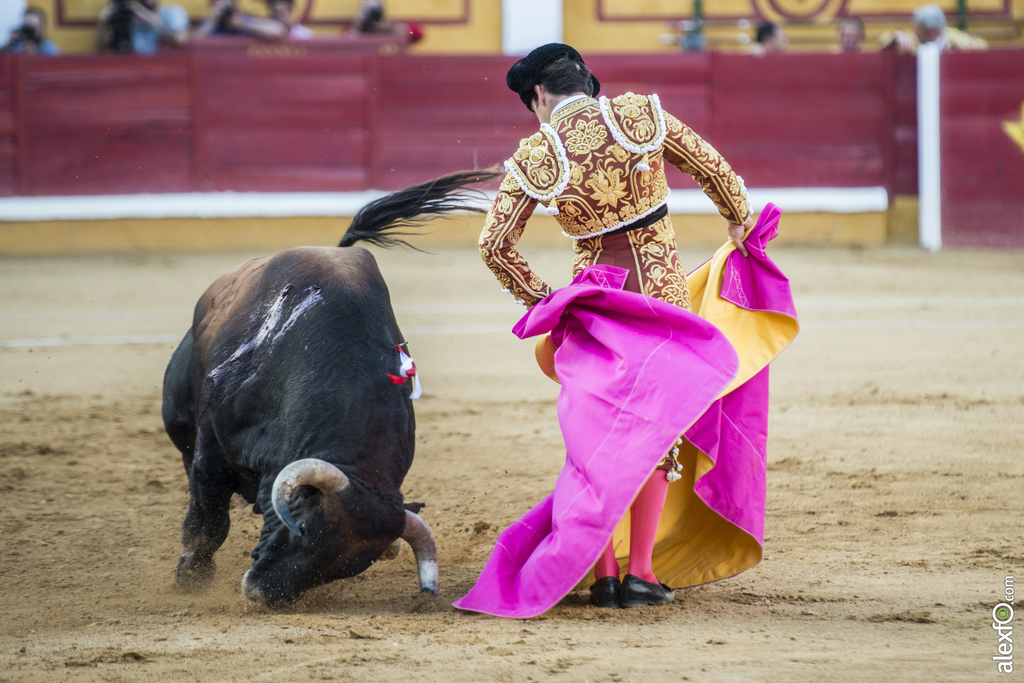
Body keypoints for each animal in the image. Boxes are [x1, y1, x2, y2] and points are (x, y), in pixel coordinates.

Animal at [159, 172, 499, 610]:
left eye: (347, 568)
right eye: (301, 526)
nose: (260, 594)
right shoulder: (212, 454)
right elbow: (209, 521)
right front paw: (191, 577)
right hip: (179, 414)